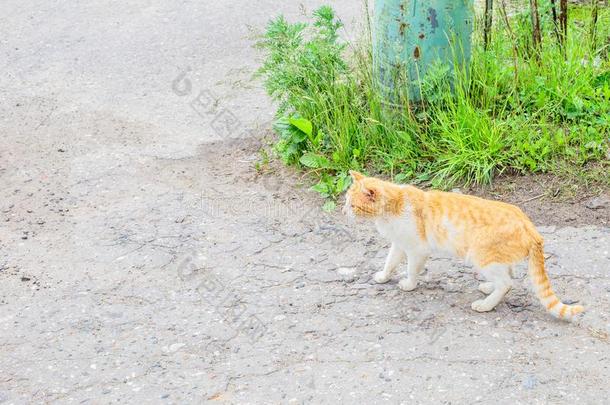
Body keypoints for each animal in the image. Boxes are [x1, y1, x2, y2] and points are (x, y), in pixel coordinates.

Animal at [344, 169, 580, 320]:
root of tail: (530, 227)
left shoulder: (417, 250)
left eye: (352, 205)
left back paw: (485, 305)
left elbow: (411, 270)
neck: (394, 206)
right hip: (495, 259)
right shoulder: (399, 244)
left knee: (507, 283)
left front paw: (409, 284)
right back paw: (488, 287)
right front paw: (384, 277)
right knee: (508, 275)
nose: (343, 211)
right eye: (346, 201)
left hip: (481, 256)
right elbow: (390, 262)